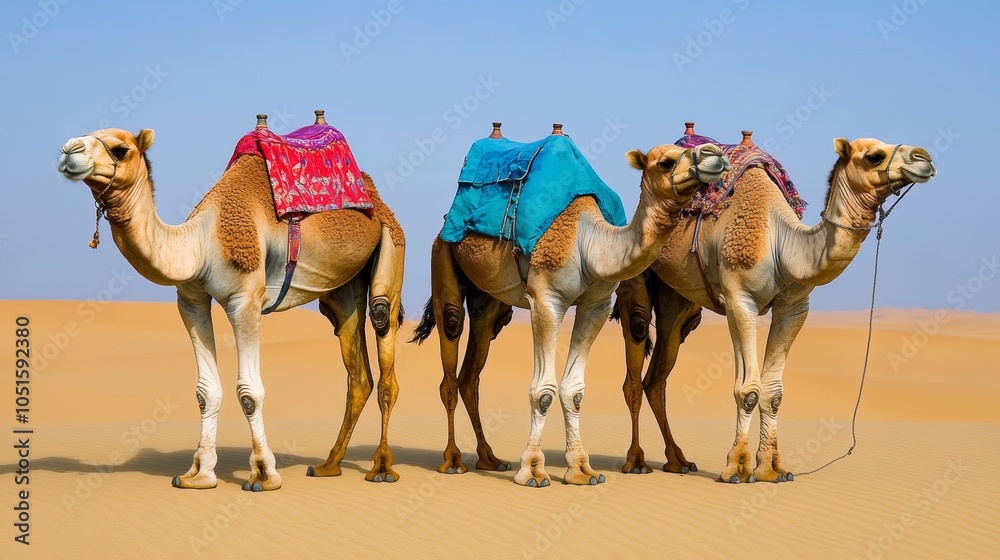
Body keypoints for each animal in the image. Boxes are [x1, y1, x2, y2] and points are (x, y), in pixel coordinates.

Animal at [57, 115, 405, 491]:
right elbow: (205, 392)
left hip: (391, 246)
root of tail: (377, 201)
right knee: (356, 370)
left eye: (120, 149)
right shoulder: (191, 301)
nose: (69, 150)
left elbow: (250, 392)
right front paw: (199, 474)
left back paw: (381, 468)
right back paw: (329, 465)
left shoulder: (245, 302)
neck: (200, 243)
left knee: (383, 333)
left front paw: (264, 474)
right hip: (342, 289)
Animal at [411, 124, 731, 487]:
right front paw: (533, 471)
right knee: (450, 354)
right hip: (443, 256)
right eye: (666, 161)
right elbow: (543, 390)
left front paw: (580, 469)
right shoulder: (546, 300)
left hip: (489, 302)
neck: (589, 243)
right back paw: (453, 460)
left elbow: (574, 391)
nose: (714, 154)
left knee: (471, 373)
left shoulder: (596, 305)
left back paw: (489, 458)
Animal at [613, 133, 936, 483]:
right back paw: (636, 461)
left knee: (657, 377)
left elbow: (774, 392)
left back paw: (678, 460)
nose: (924, 157)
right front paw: (737, 468)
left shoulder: (793, 307)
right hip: (637, 279)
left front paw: (772, 468)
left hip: (680, 301)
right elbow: (749, 390)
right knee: (635, 362)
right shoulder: (740, 300)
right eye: (874, 156)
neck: (783, 244)